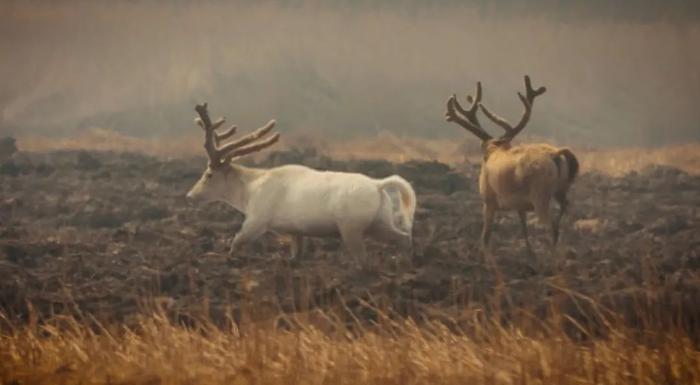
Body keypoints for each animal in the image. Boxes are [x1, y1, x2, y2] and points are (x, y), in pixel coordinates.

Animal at [185, 102, 416, 266]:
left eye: (208, 174)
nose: (190, 195)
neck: (249, 190)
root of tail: (378, 185)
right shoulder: (294, 230)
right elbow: (297, 254)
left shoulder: (257, 219)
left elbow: (236, 241)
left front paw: (228, 259)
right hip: (380, 222)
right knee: (403, 238)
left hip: (351, 227)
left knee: (364, 257)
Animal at [446, 76, 576, 254]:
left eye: (483, 154)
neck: (495, 149)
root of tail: (556, 154)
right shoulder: (520, 206)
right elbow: (524, 230)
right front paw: (530, 254)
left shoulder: (489, 200)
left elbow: (485, 237)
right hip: (561, 190)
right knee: (564, 215)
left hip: (540, 195)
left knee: (551, 228)